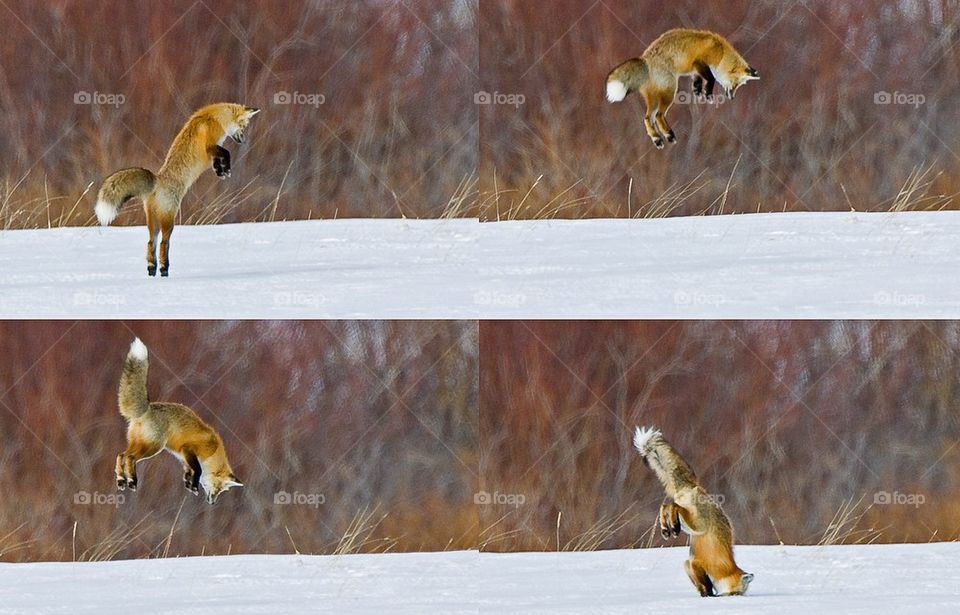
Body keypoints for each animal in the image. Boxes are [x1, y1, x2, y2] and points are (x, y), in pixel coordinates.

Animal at [94, 103, 260, 277]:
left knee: (150, 243)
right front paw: (225, 169)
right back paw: (164, 269)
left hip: (153, 223)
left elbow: (219, 159)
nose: (244, 141)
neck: (214, 118)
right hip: (168, 221)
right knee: (163, 244)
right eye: (243, 126)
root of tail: (157, 181)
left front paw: (220, 171)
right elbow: (226, 152)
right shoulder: (210, 147)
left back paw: (152, 270)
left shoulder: (213, 152)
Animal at [114, 338, 243, 505]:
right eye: (216, 488)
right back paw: (132, 481)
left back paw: (121, 480)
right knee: (130, 458)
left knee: (121, 456)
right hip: (154, 447)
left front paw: (189, 485)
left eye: (220, 491)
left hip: (138, 444)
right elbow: (198, 471)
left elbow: (188, 473)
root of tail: (148, 407)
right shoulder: (188, 449)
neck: (213, 451)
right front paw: (194, 486)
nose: (212, 503)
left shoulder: (183, 457)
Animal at [606, 29, 758, 149]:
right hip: (670, 92)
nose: (732, 97)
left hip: (653, 99)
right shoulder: (699, 62)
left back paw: (657, 139)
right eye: (735, 85)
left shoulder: (695, 69)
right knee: (659, 115)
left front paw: (698, 90)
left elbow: (697, 79)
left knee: (647, 118)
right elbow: (711, 78)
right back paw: (669, 134)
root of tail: (645, 59)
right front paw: (708, 93)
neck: (721, 51)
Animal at [633, 426, 753, 597]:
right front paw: (709, 596)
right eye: (738, 592)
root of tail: (695, 485)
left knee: (666, 506)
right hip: (698, 525)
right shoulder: (698, 564)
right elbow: (705, 584)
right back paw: (672, 526)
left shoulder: (687, 563)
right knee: (673, 507)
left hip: (691, 527)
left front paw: (706, 595)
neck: (726, 571)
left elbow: (699, 582)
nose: (734, 597)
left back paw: (668, 528)